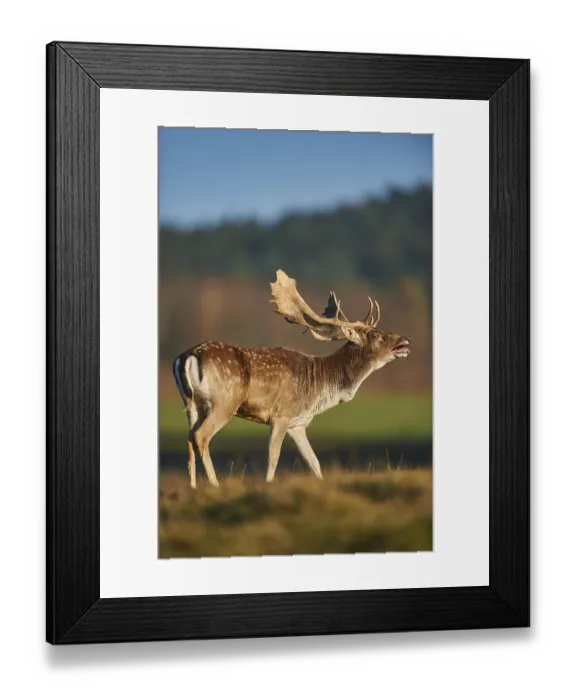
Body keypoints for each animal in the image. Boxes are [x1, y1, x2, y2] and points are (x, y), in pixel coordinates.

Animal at [172, 270, 411, 488]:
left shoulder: (298, 424)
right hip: (224, 402)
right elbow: (273, 459)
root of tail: (186, 357)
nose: (405, 340)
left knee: (189, 437)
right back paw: (214, 485)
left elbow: (314, 463)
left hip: (192, 403)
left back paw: (193, 487)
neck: (319, 386)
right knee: (201, 436)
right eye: (377, 335)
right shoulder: (281, 416)